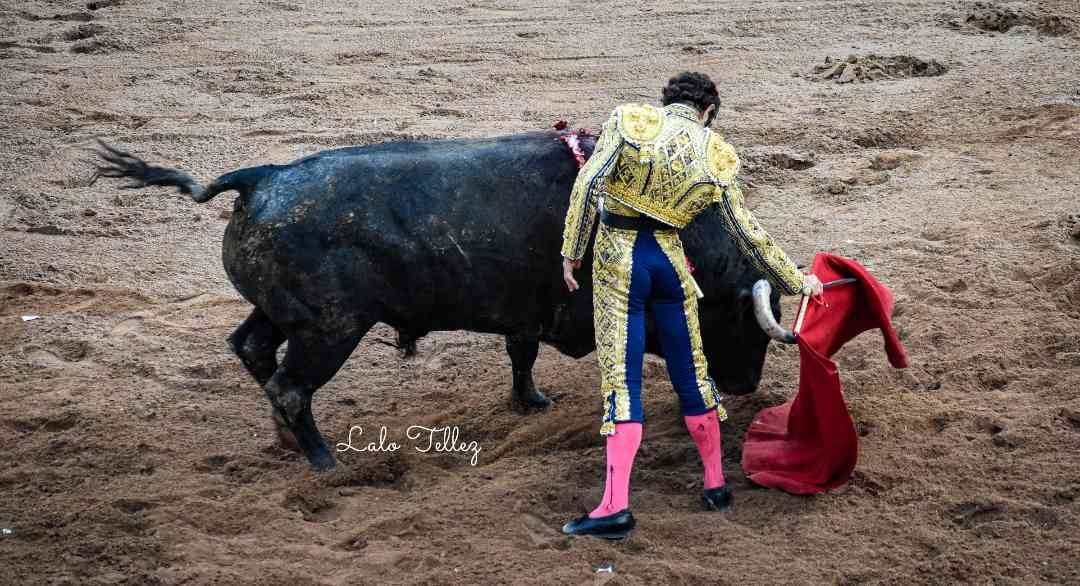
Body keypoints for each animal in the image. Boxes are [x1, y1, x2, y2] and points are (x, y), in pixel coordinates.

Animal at [92, 130, 784, 470]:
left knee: (253, 349)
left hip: (287, 316)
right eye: (741, 324)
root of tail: (261, 179)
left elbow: (521, 354)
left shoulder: (523, 309)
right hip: (330, 330)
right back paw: (322, 461)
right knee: (289, 385)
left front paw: (531, 402)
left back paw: (286, 441)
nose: (747, 386)